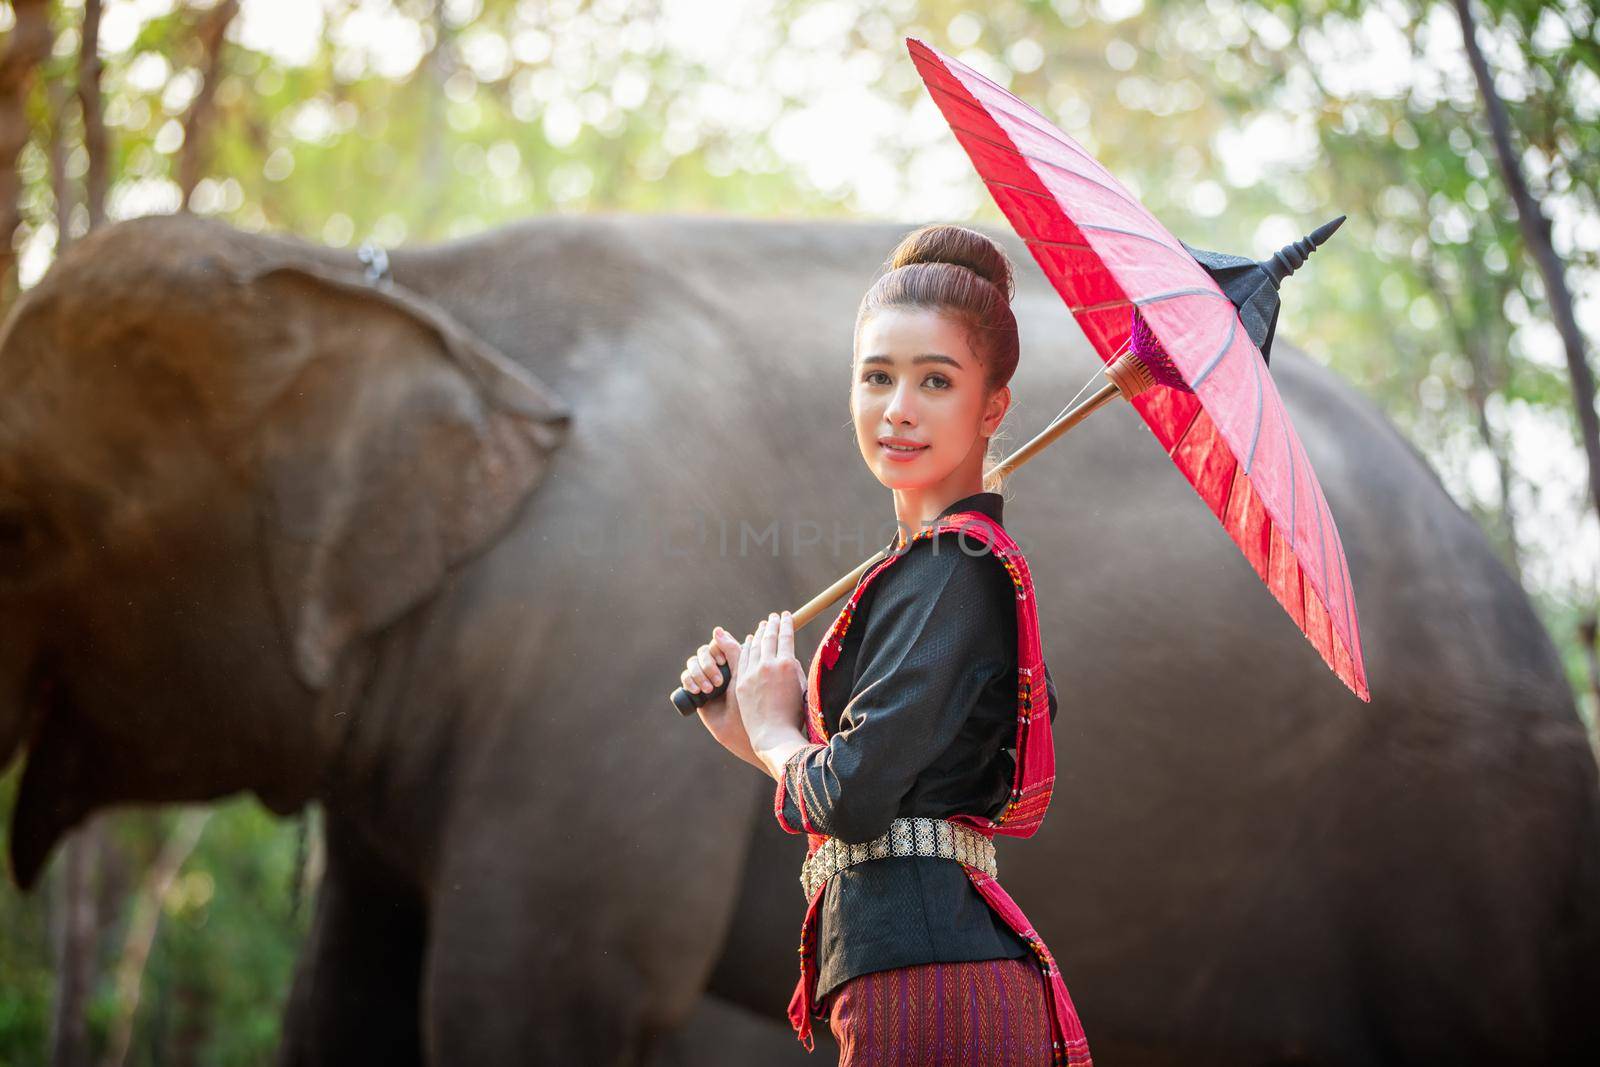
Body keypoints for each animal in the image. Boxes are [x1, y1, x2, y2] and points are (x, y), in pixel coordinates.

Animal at [0, 211, 1593, 1067]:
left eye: (28, 525)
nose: (698, 674)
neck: (408, 282)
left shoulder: (580, 687)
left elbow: (523, 1003)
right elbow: (345, 1004)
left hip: (1474, 835)